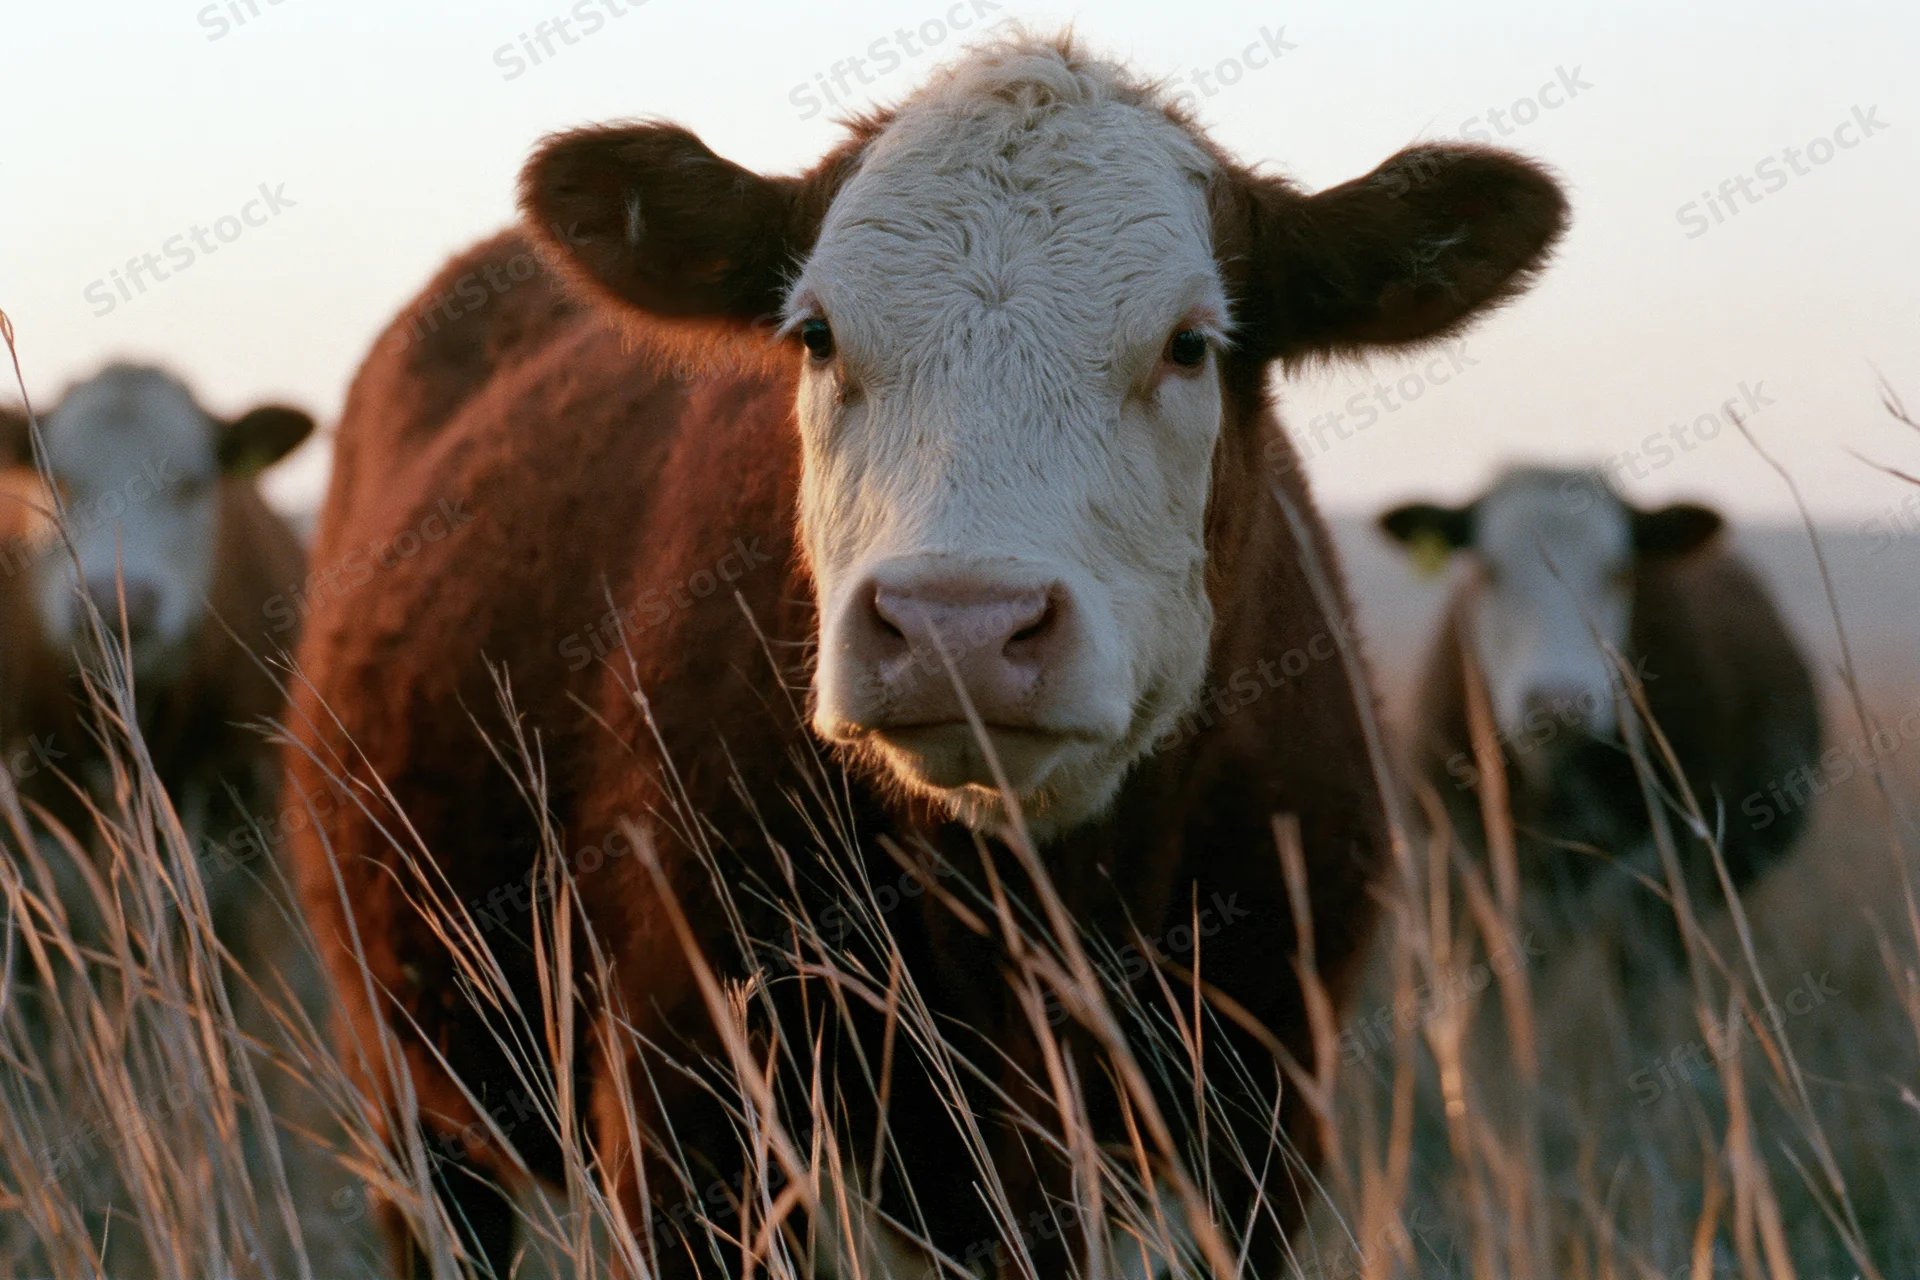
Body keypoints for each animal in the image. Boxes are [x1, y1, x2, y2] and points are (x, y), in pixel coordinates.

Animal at [284, 35, 1567, 1278]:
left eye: (1190, 345)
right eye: (815, 336)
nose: (959, 625)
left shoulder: (1263, 1113)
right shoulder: (688, 1112)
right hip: (402, 1087)